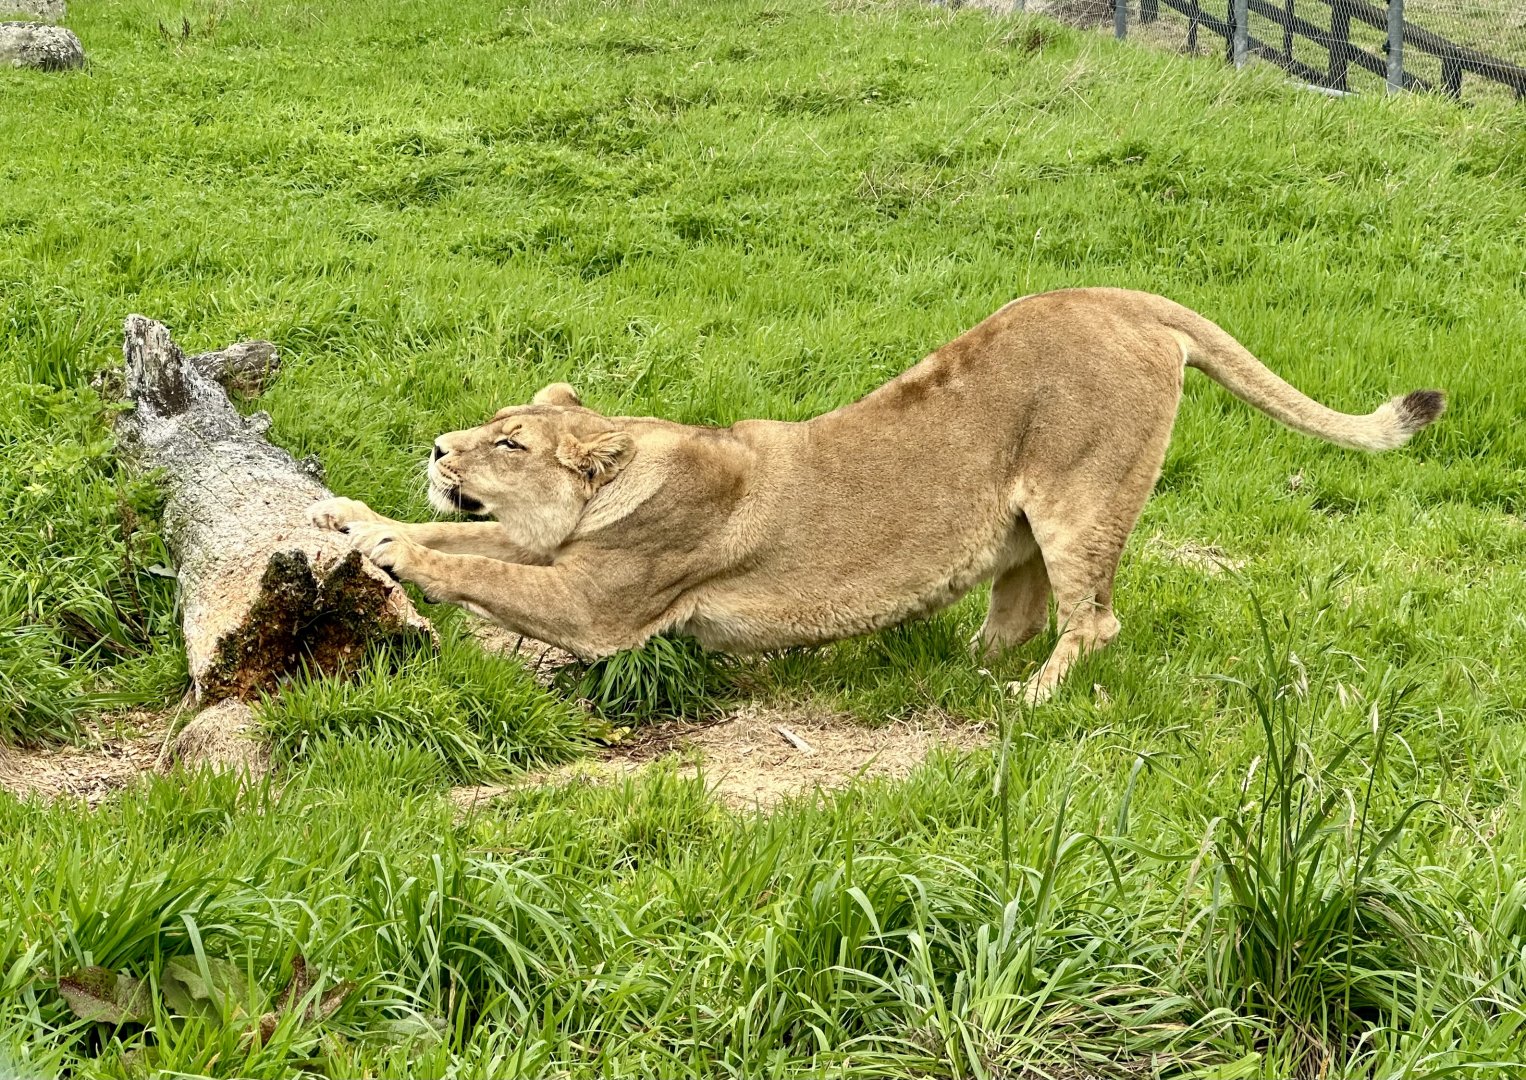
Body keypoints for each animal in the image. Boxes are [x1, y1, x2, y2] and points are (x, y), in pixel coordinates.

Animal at [310, 288, 1444, 704]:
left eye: (507, 443)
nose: (437, 446)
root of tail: (1126, 296)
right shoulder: (566, 561)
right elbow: (469, 543)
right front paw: (349, 516)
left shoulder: (604, 603)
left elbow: (474, 566)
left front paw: (399, 555)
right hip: (1020, 521)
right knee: (1019, 608)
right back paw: (962, 671)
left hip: (1081, 497)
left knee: (1094, 620)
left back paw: (1028, 704)